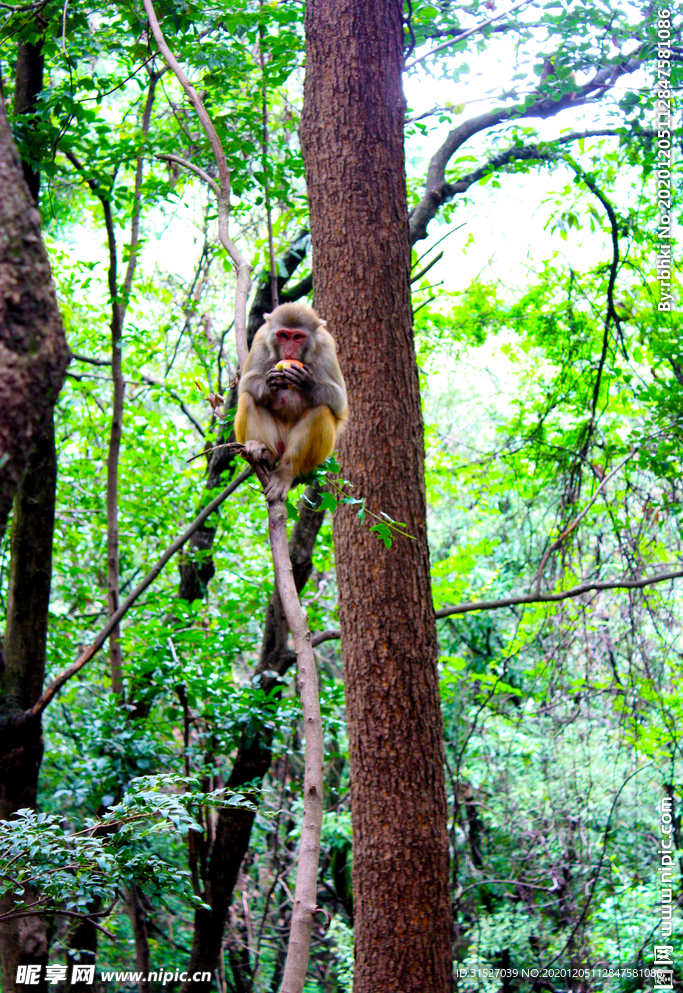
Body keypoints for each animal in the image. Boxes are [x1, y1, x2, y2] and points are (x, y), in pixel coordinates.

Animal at [238, 302, 350, 504]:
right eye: (283, 335)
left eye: (297, 337)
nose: (289, 352)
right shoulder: (260, 339)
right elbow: (246, 382)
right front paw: (269, 383)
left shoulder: (326, 347)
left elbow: (338, 400)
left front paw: (306, 383)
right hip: (275, 442)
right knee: (248, 396)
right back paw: (262, 449)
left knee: (321, 410)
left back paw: (286, 471)